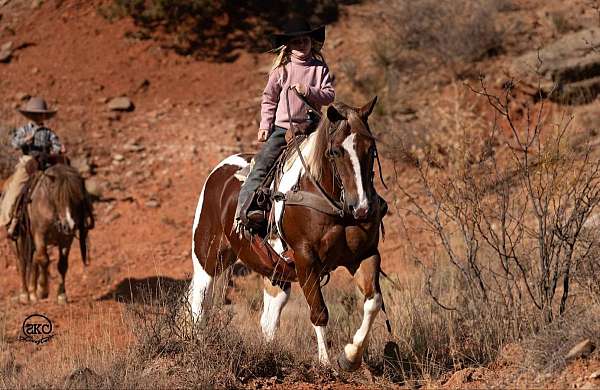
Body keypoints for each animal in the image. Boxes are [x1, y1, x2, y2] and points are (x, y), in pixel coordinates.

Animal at [13, 163, 93, 306]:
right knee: (23, 261)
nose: (69, 225)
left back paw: (32, 294)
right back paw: (25, 295)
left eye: (76, 198)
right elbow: (44, 260)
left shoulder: (66, 239)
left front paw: (61, 296)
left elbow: (62, 265)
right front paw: (43, 290)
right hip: (23, 239)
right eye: (56, 197)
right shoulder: (40, 235)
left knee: (33, 260)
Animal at [188, 96, 384, 368]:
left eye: (371, 149)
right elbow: (319, 312)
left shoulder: (365, 255)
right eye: (336, 151)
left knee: (268, 320)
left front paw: (350, 357)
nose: (362, 208)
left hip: (276, 272)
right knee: (199, 302)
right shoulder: (305, 260)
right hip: (208, 257)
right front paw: (326, 364)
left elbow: (373, 302)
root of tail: (219, 171)